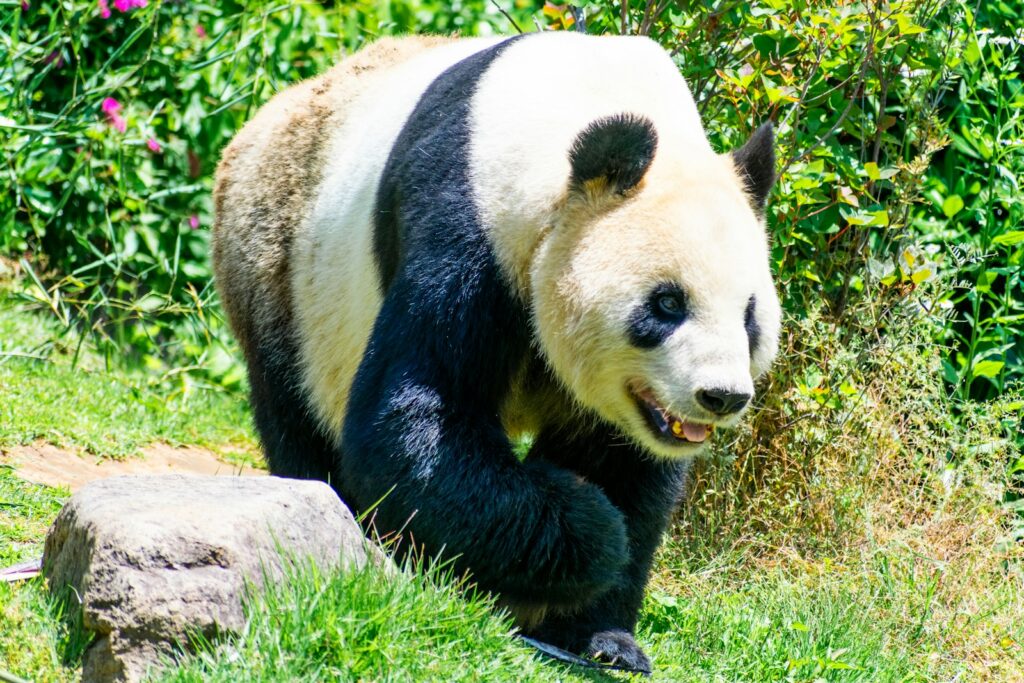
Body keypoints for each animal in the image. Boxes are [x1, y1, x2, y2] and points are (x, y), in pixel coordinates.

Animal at [214, 31, 774, 671]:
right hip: (281, 267)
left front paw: (601, 635)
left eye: (749, 315)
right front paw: (586, 529)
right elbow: (413, 424)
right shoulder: (468, 222)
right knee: (298, 417)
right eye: (666, 304)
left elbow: (628, 468)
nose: (722, 395)